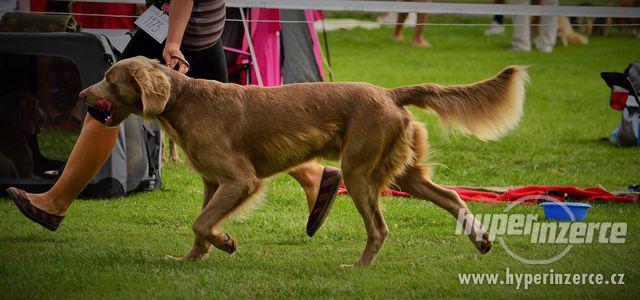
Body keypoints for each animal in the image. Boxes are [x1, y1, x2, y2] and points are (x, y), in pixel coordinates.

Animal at [80, 56, 528, 268]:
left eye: (109, 79)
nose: (83, 94)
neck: (185, 101)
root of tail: (389, 93)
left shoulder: (240, 180)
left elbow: (202, 223)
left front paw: (226, 243)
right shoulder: (213, 182)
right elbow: (200, 226)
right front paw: (190, 259)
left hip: (359, 172)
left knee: (379, 228)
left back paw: (358, 267)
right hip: (402, 172)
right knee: (451, 196)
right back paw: (481, 239)